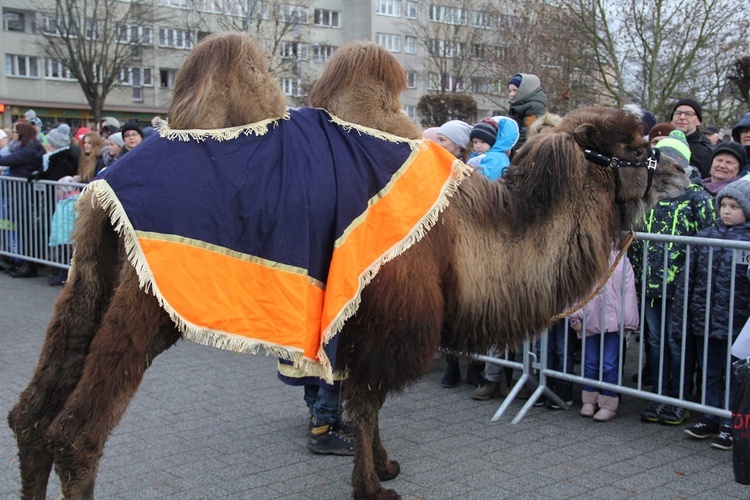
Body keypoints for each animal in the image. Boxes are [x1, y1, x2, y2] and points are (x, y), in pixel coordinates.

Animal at [4, 33, 692, 498]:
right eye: (633, 146)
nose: (680, 169)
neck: (468, 233)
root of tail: (101, 185)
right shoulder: (390, 318)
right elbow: (365, 404)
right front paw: (373, 484)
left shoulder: (362, 324)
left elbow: (366, 404)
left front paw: (383, 465)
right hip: (150, 297)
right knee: (75, 433)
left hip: (92, 274)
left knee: (30, 416)